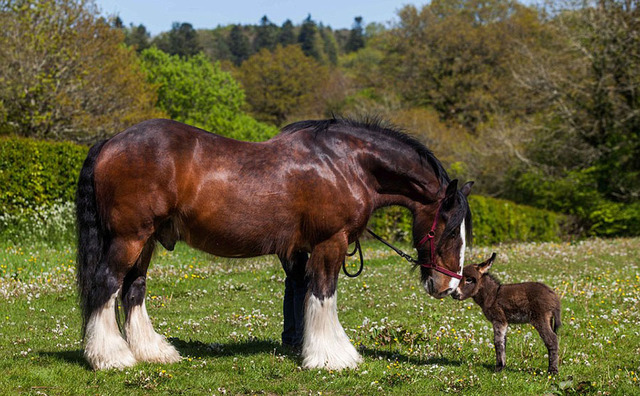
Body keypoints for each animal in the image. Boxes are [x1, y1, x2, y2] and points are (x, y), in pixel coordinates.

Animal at [77, 118, 472, 372]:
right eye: (451, 231)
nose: (448, 286)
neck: (346, 164)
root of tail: (110, 143)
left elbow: (307, 293)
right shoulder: (330, 242)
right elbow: (323, 294)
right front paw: (332, 357)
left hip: (146, 241)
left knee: (134, 289)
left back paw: (151, 352)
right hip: (130, 238)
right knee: (107, 284)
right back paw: (111, 358)